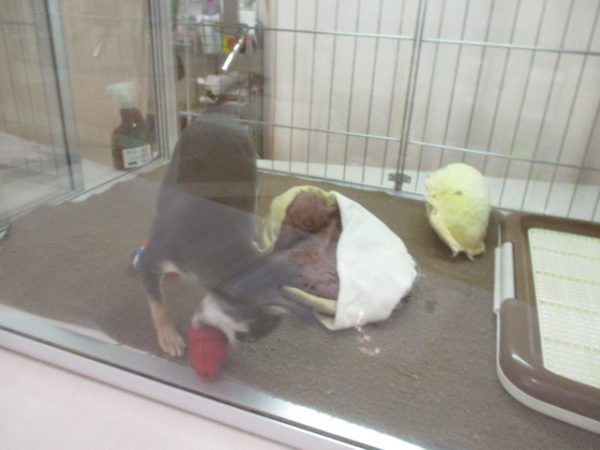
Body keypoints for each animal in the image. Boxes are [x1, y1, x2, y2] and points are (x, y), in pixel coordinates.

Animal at [138, 113, 307, 357]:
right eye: (246, 336)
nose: (235, 345)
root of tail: (220, 115)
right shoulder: (151, 260)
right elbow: (158, 305)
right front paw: (169, 338)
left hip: (251, 173)